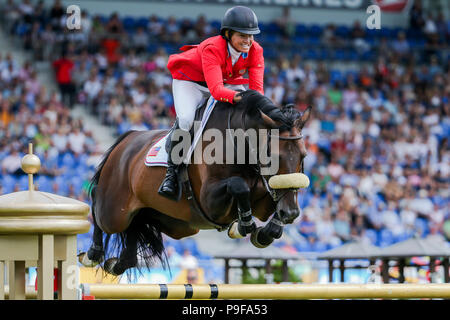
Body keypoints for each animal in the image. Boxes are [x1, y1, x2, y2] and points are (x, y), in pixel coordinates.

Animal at [78, 90, 310, 276]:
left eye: (304, 156)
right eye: (273, 157)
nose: (291, 213)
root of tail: (126, 140)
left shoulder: (264, 194)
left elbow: (271, 205)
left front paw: (263, 231)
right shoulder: (210, 201)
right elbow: (239, 185)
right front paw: (245, 224)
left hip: (170, 222)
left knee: (130, 246)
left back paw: (113, 264)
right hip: (114, 211)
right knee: (98, 206)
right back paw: (92, 254)